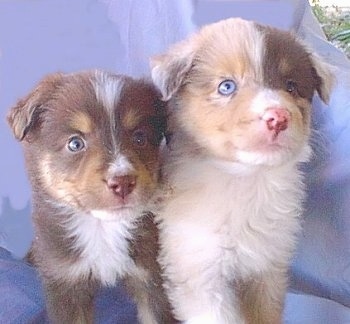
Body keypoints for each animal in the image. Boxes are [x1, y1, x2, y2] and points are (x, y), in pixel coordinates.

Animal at [5, 71, 175, 324]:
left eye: (139, 138)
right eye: (75, 143)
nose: (122, 182)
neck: (102, 229)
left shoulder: (151, 276)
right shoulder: (65, 281)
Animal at [151, 18, 334, 324]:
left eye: (291, 86)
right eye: (226, 86)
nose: (278, 118)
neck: (244, 181)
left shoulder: (267, 270)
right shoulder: (199, 273)